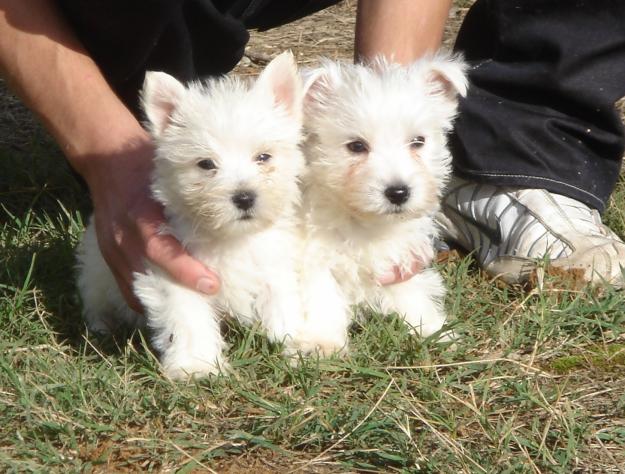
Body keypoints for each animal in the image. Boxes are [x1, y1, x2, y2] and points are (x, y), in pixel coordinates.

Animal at [77, 51, 306, 378]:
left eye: (264, 157)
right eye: (206, 164)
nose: (245, 197)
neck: (229, 238)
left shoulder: (273, 262)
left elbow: (283, 299)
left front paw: (298, 342)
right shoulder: (174, 272)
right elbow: (187, 319)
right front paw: (197, 365)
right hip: (98, 273)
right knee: (95, 299)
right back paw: (102, 326)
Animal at [294, 52, 466, 356]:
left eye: (418, 141)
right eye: (356, 146)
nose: (398, 192)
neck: (364, 222)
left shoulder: (400, 258)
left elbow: (411, 293)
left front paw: (434, 329)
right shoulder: (312, 257)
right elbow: (321, 297)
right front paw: (321, 343)